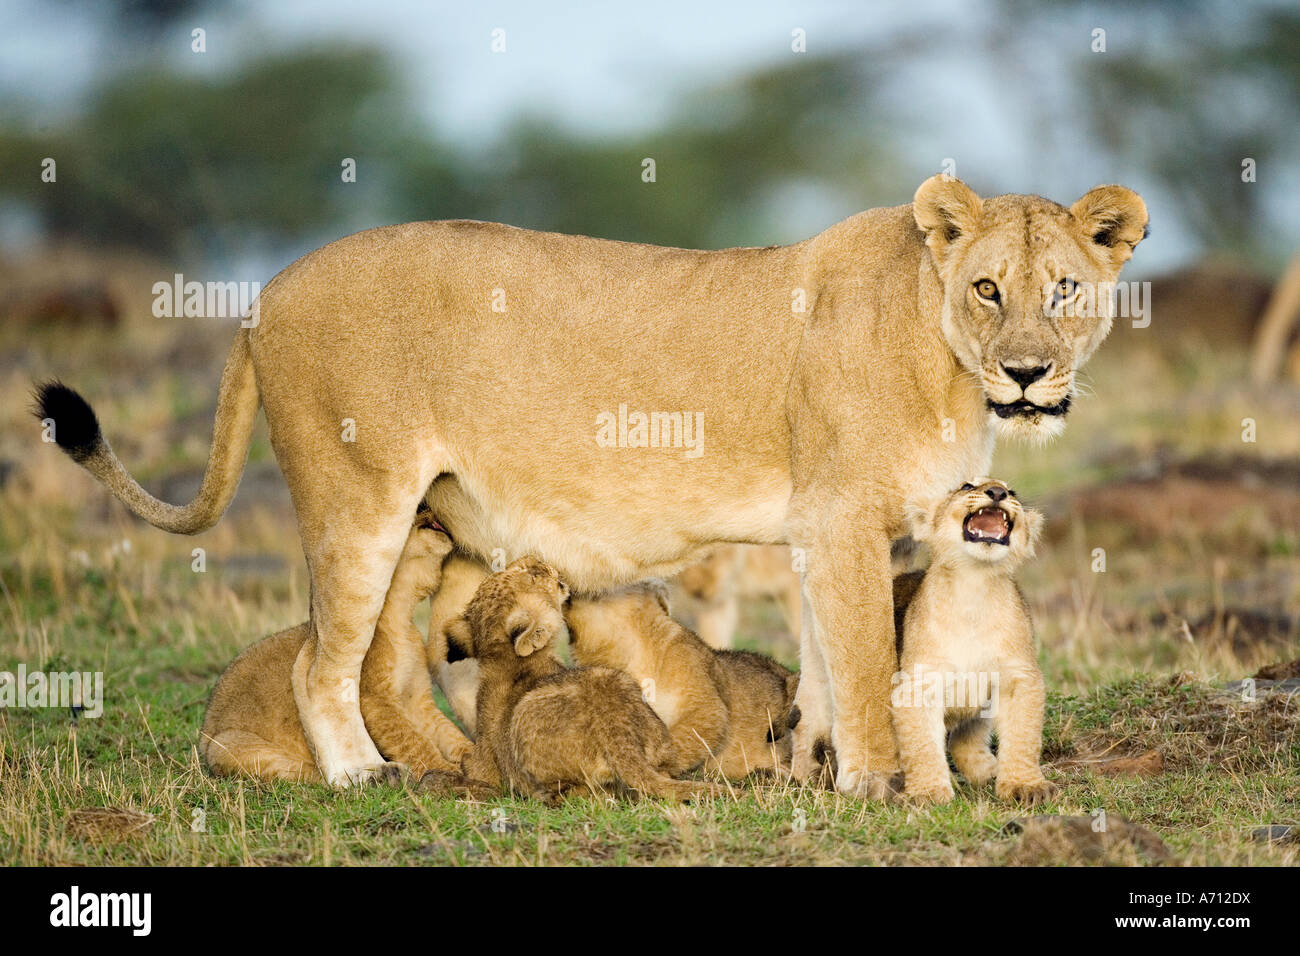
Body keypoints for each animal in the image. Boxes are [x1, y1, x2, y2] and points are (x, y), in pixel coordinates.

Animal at [200, 514, 471, 782]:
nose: (428, 508)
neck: (401, 616)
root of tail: (204, 734)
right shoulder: (374, 700)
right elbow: (413, 741)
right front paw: (448, 772)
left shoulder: (417, 699)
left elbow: (446, 731)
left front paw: (472, 756)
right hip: (231, 745)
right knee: (311, 775)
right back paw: (380, 773)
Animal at [891, 478, 1055, 805]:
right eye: (967, 486)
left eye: (1013, 492)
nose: (998, 493)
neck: (973, 584)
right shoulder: (918, 682)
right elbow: (920, 745)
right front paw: (927, 793)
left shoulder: (1018, 676)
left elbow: (1023, 736)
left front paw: (1025, 786)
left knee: (965, 740)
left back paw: (986, 770)